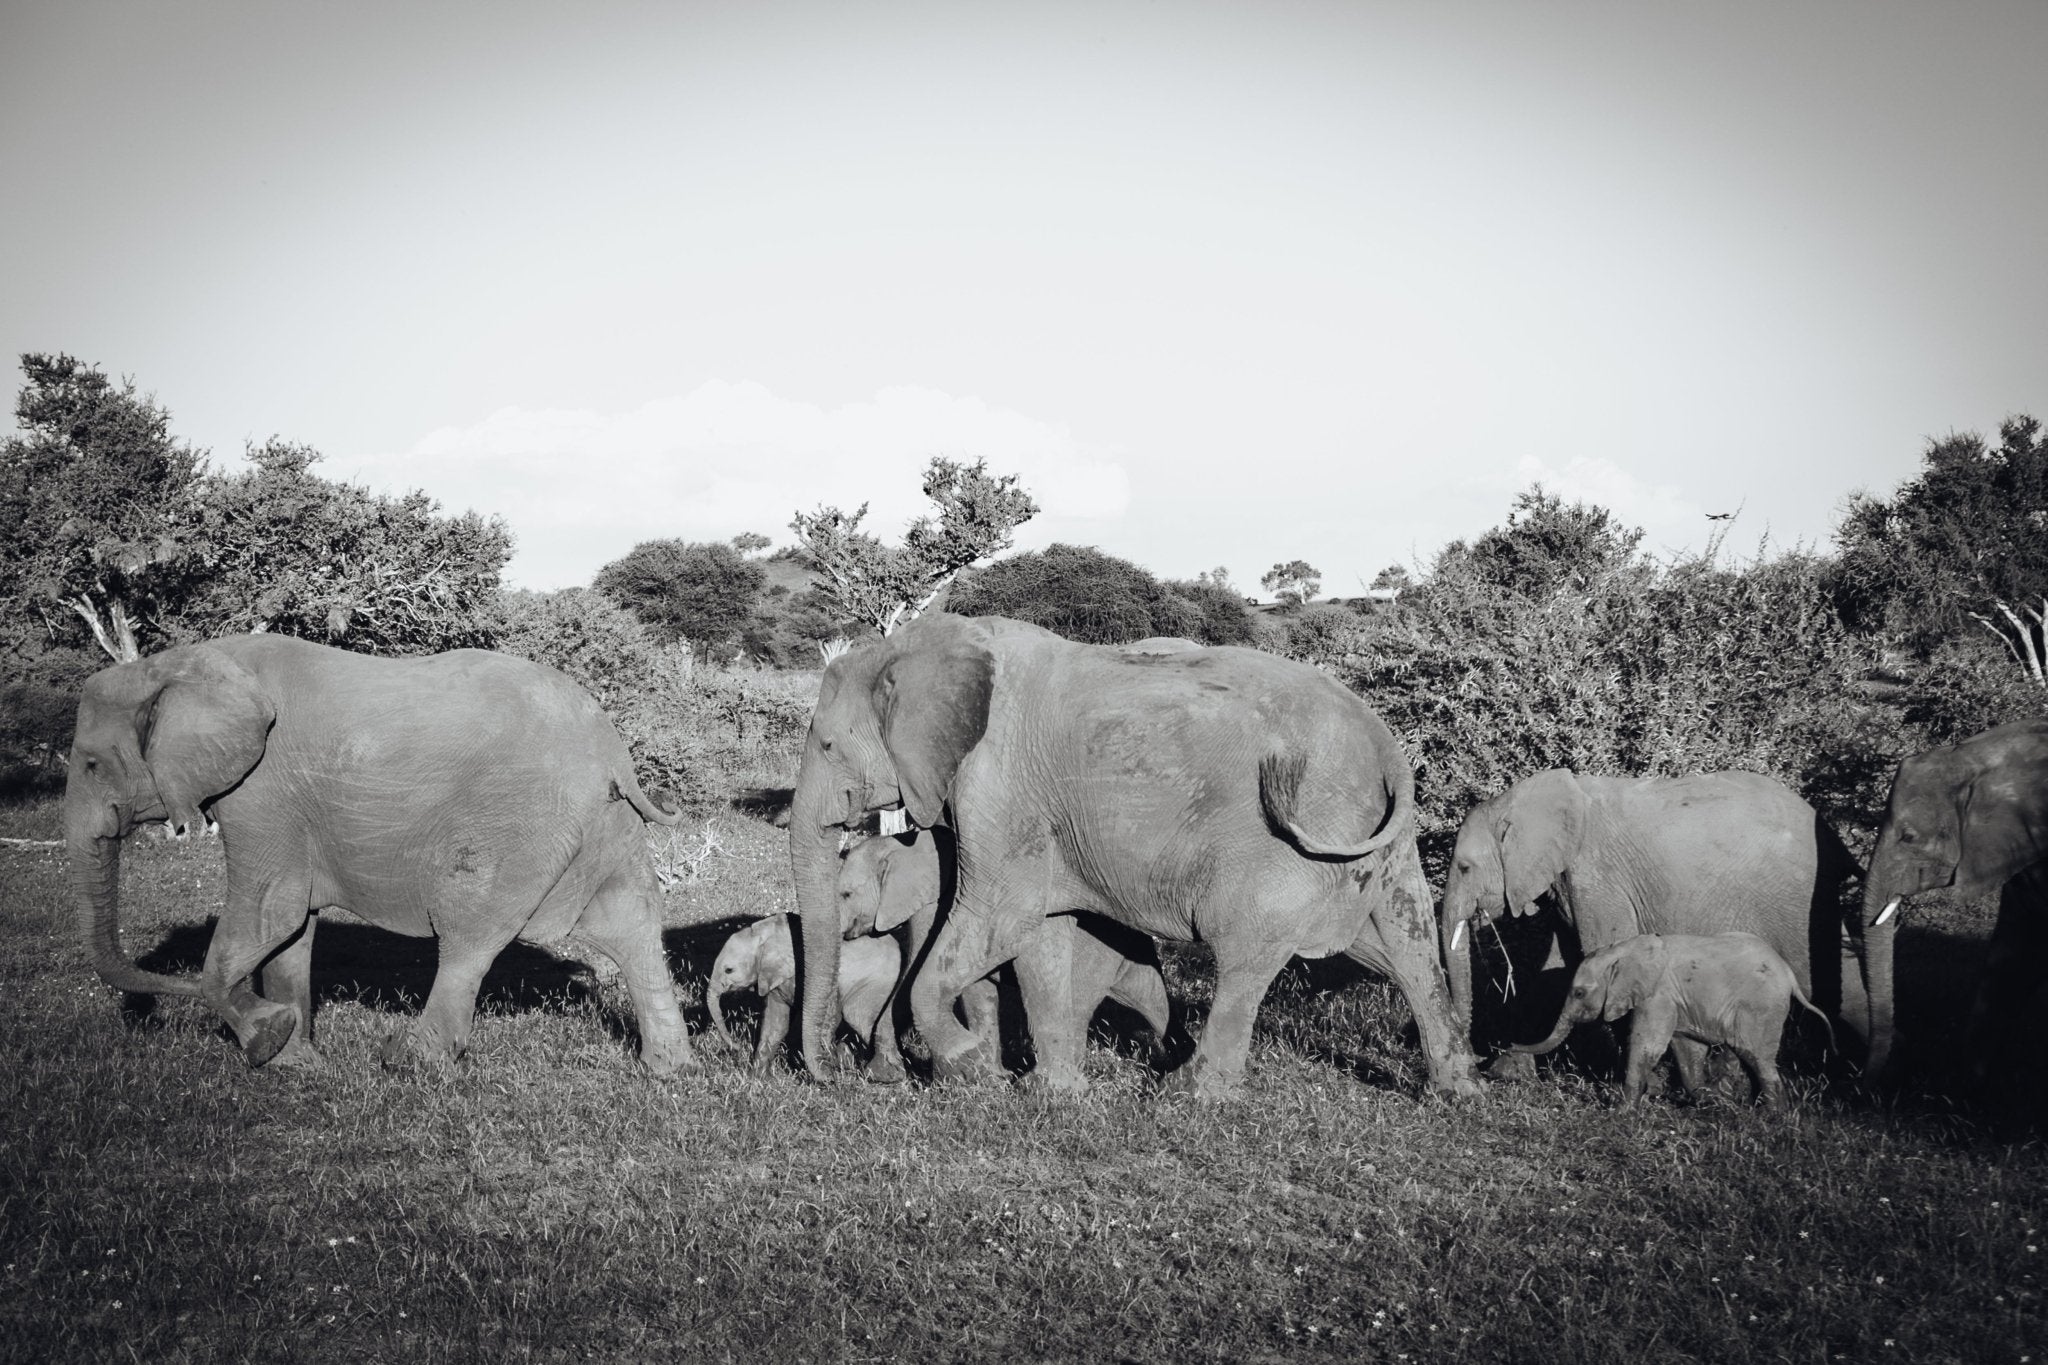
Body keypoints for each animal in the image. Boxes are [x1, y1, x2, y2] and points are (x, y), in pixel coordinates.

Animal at [64, 634, 695, 1074]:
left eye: (91, 764)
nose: (163, 997)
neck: (181, 662)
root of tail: (612, 748)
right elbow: (292, 933)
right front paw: (297, 1062)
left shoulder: (261, 792)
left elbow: (273, 911)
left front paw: (266, 1040)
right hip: (602, 820)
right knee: (631, 920)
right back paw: (667, 1070)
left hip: (521, 822)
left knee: (469, 930)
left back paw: (407, 1062)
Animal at [707, 916, 900, 1072]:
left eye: (729, 970)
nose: (737, 1047)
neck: (764, 932)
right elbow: (775, 1024)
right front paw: (758, 1079)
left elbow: (828, 1016)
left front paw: (833, 1068)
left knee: (860, 1018)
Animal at [838, 829, 1173, 1081]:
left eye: (846, 894)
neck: (904, 844)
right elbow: (976, 990)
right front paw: (986, 1077)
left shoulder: (933, 906)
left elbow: (911, 977)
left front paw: (887, 1076)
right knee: (1152, 996)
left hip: (1096, 950)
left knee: (1080, 1002)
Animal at [1439, 769, 1866, 1087]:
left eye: (1464, 868)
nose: (1476, 1055)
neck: (1520, 800)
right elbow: (1557, 967)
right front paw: (1508, 1072)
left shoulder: (1597, 875)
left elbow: (1599, 949)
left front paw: (1645, 1083)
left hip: (1794, 895)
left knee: (1815, 974)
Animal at [1511, 932, 1834, 1106]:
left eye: (1578, 993)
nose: (1510, 1046)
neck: (1623, 949)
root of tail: (1790, 976)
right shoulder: (1676, 1000)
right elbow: (1685, 1047)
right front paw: (1707, 1099)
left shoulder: (1657, 995)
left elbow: (1647, 1045)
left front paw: (1621, 1111)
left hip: (1761, 1007)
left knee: (1756, 1056)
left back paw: (1772, 1115)